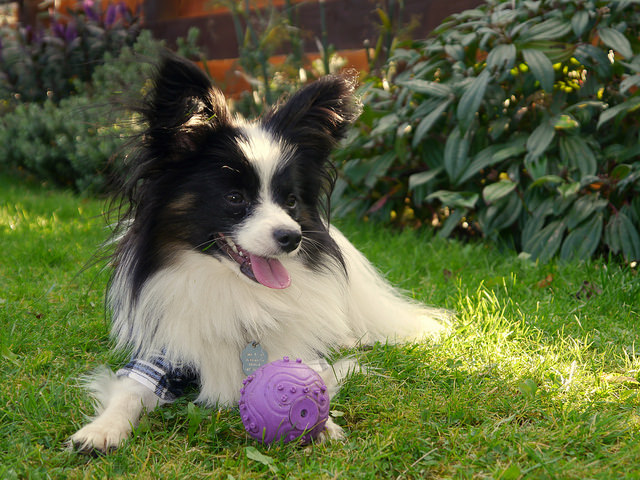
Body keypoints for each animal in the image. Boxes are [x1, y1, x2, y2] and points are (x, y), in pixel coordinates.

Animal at [70, 54, 448, 452]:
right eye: (235, 197)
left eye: (291, 201)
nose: (292, 237)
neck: (235, 289)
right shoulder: (156, 357)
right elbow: (129, 391)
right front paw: (102, 429)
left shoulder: (297, 348)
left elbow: (314, 377)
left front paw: (322, 424)